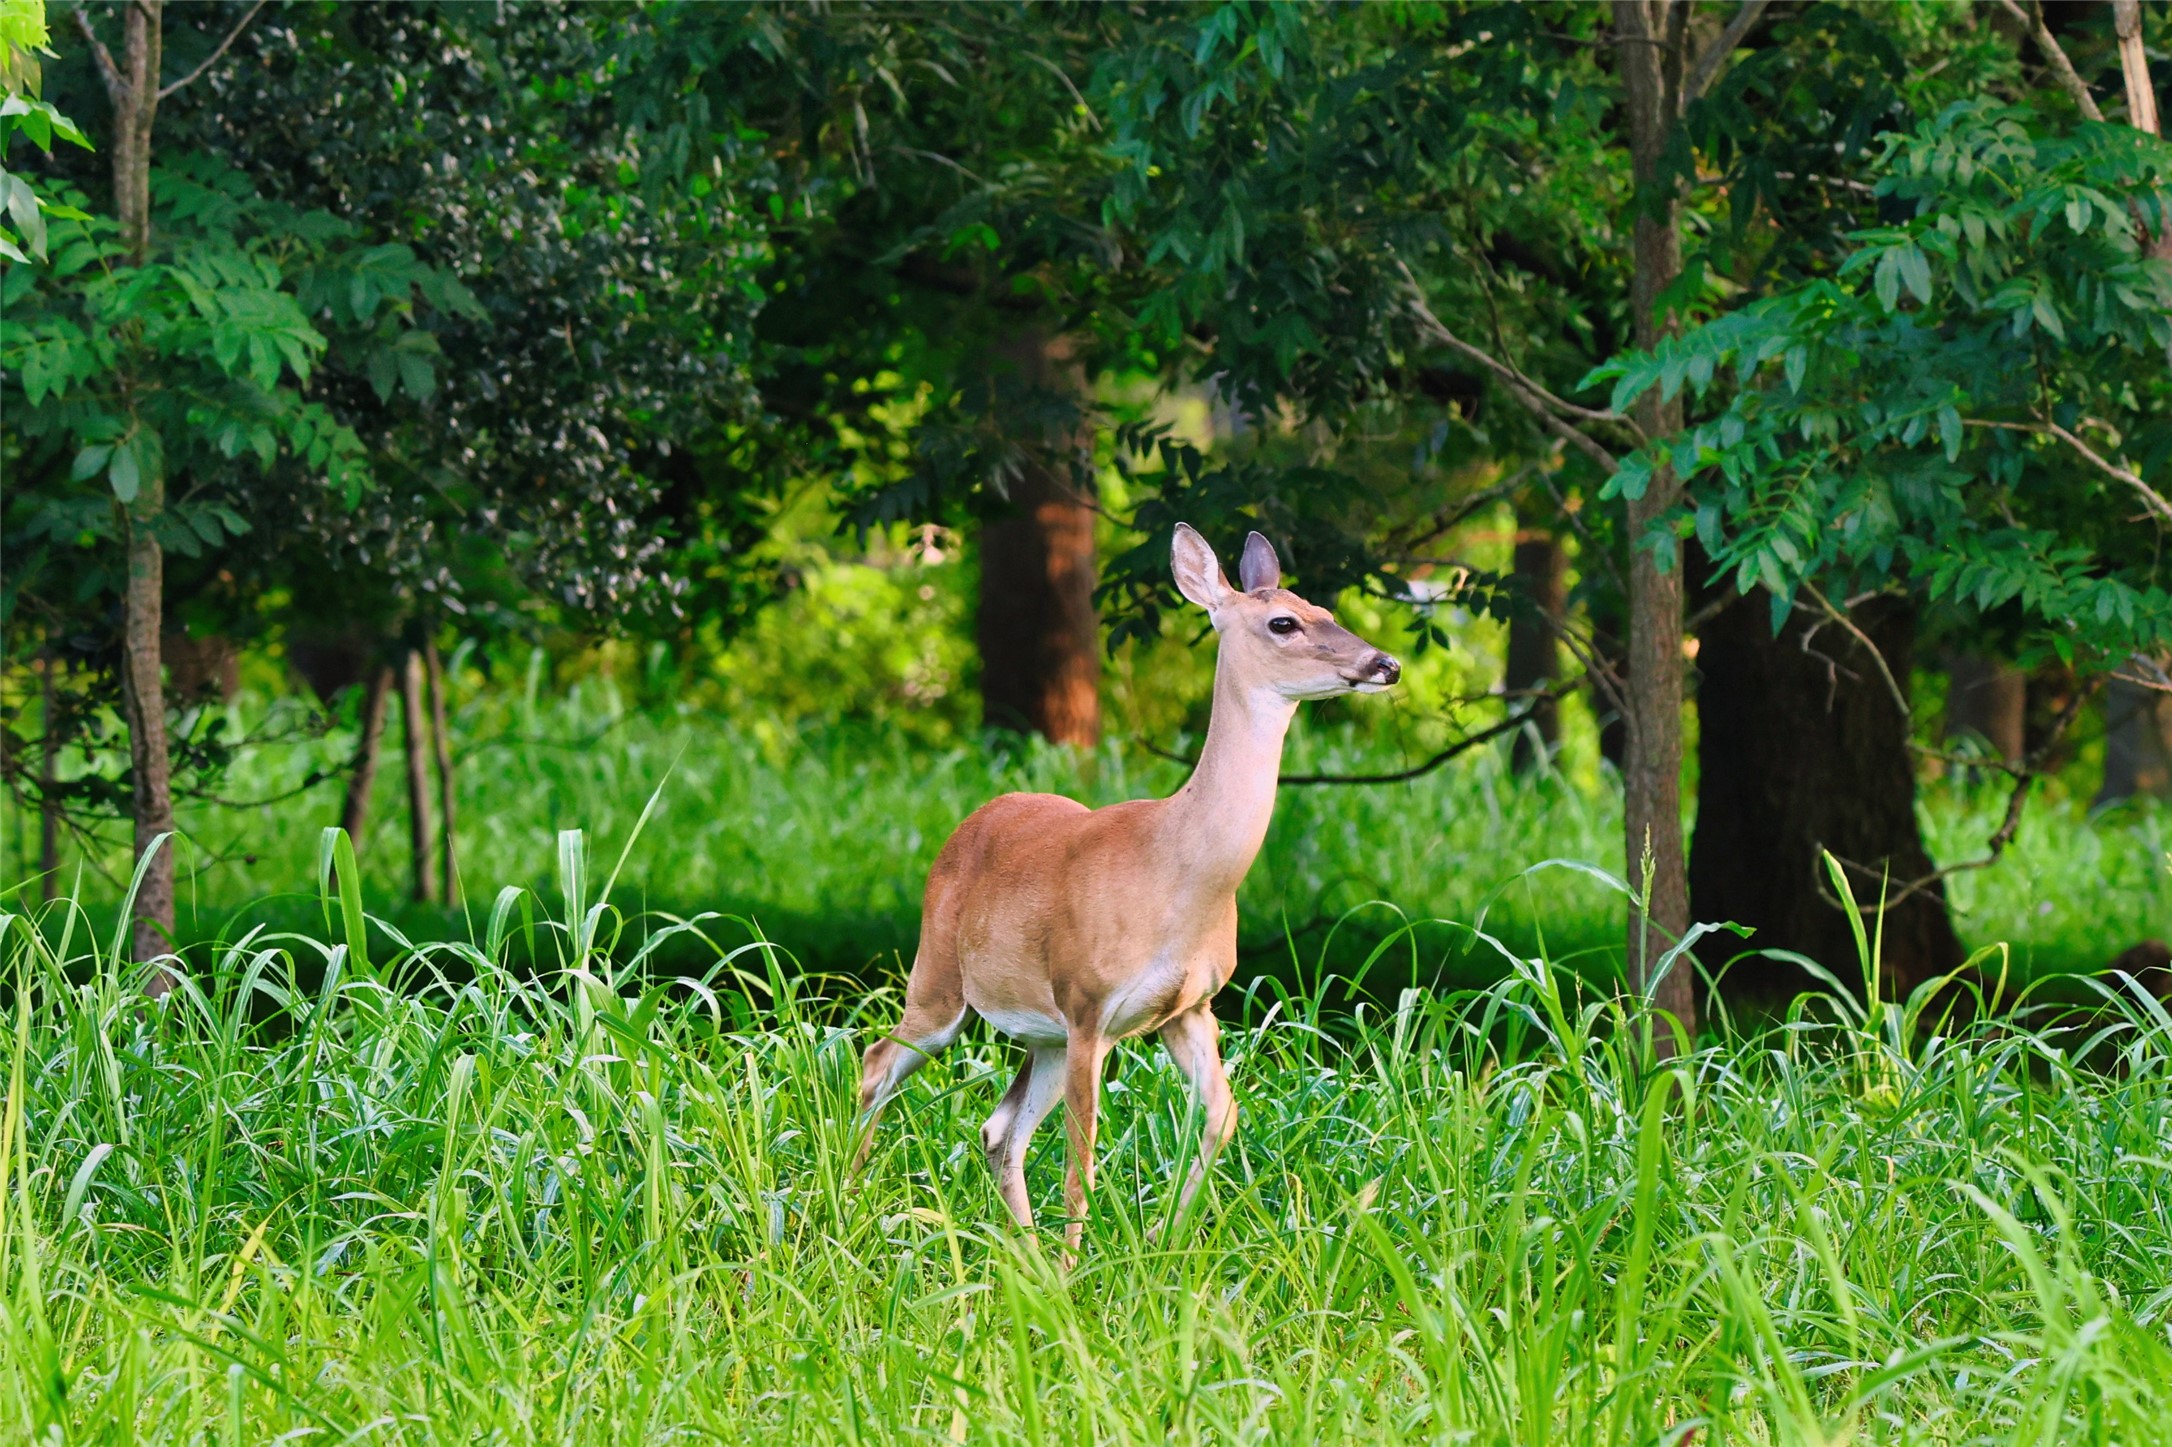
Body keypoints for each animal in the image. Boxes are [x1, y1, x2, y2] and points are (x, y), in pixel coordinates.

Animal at [850, 523, 1401, 1257]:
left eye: (1326, 608)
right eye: (1284, 622)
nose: (1385, 664)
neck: (1177, 871)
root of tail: (967, 824)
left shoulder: (1189, 1006)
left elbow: (1222, 1116)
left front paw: (1164, 1241)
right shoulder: (1089, 1002)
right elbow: (1081, 1158)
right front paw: (1080, 1265)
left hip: (1041, 1031)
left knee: (999, 1128)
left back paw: (1023, 1255)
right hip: (940, 980)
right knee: (878, 1061)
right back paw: (846, 1204)